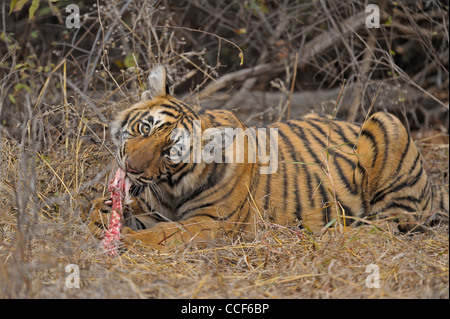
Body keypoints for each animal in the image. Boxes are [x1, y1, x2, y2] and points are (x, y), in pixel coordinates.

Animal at [88, 64, 446, 250]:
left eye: (170, 152)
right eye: (145, 127)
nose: (129, 167)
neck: (171, 186)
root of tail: (432, 186)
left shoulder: (213, 223)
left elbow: (162, 233)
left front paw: (125, 239)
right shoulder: (150, 206)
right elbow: (99, 208)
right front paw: (103, 217)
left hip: (386, 122)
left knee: (391, 225)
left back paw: (330, 233)